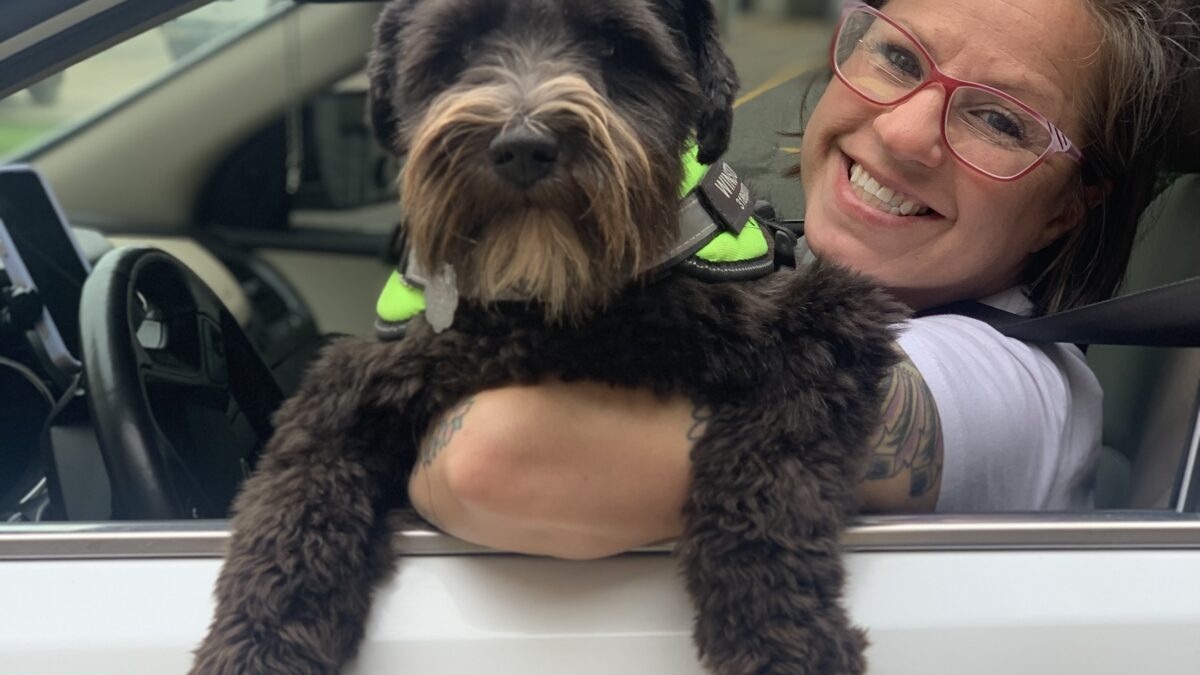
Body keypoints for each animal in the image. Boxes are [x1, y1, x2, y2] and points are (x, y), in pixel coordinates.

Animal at [184, 1, 902, 672]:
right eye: (459, 48)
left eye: (615, 48)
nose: (523, 146)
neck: (543, 294)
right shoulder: (357, 376)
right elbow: (294, 490)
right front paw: (257, 641)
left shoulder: (823, 322)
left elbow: (769, 467)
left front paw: (779, 630)